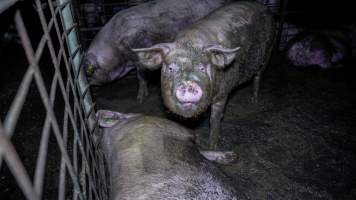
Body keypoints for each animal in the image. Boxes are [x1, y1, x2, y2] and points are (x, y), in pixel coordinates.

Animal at [133, 1, 276, 148]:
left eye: (202, 68)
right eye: (171, 68)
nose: (188, 84)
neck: (190, 42)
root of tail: (263, 7)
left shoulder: (223, 92)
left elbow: (215, 118)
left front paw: (212, 145)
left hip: (268, 52)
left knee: (258, 77)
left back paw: (254, 100)